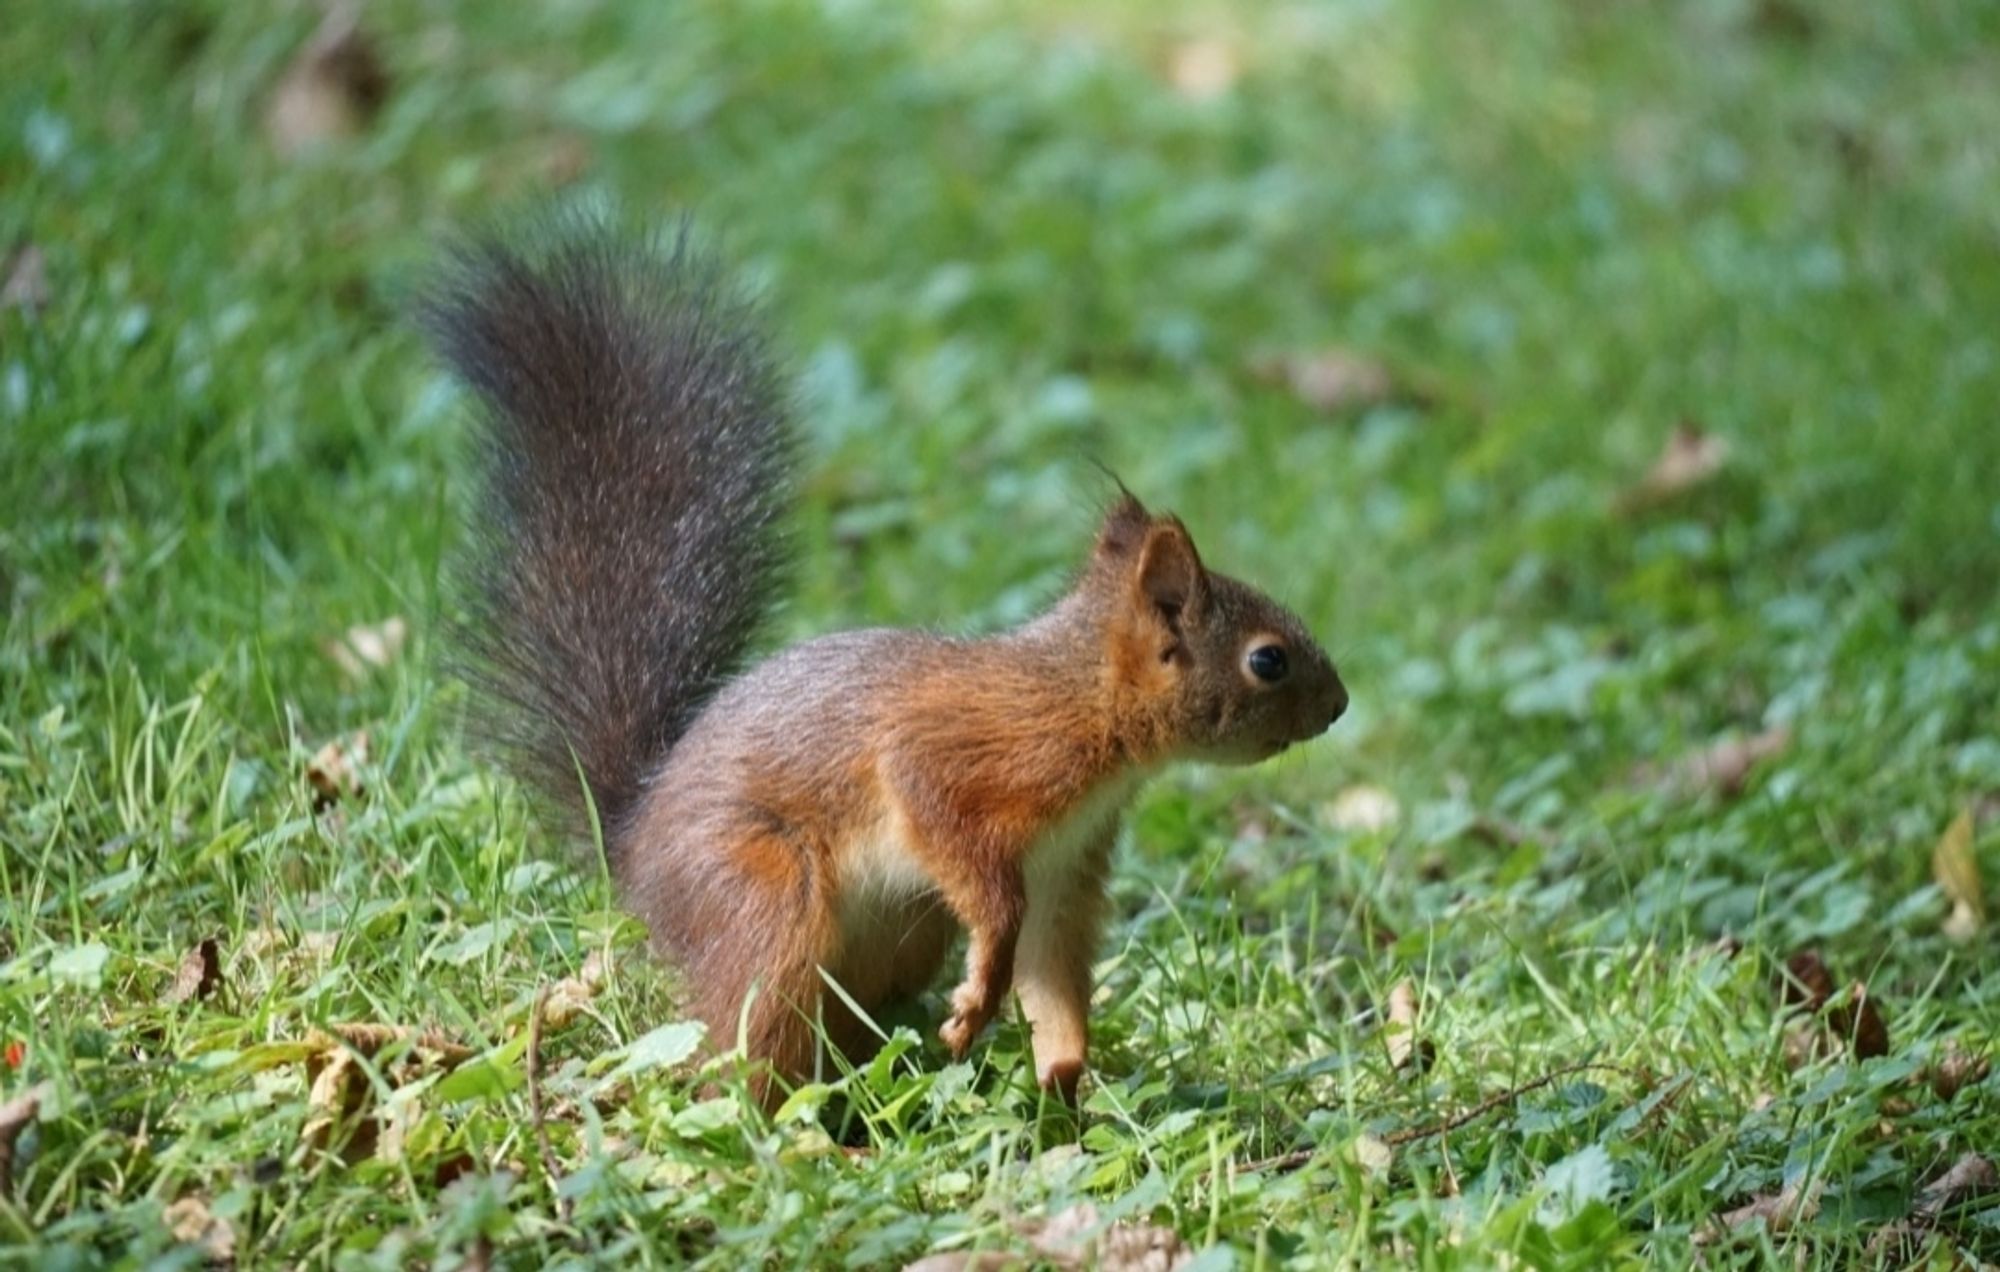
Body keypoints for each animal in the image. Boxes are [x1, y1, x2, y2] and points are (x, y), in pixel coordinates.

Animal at [428, 224, 1352, 1112]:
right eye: (1268, 661)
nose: (1341, 705)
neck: (1085, 702)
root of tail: (630, 842)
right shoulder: (967, 758)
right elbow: (974, 868)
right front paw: (983, 997)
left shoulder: (1067, 863)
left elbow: (1052, 969)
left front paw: (1063, 1085)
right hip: (760, 895)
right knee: (742, 1038)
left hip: (899, 933)